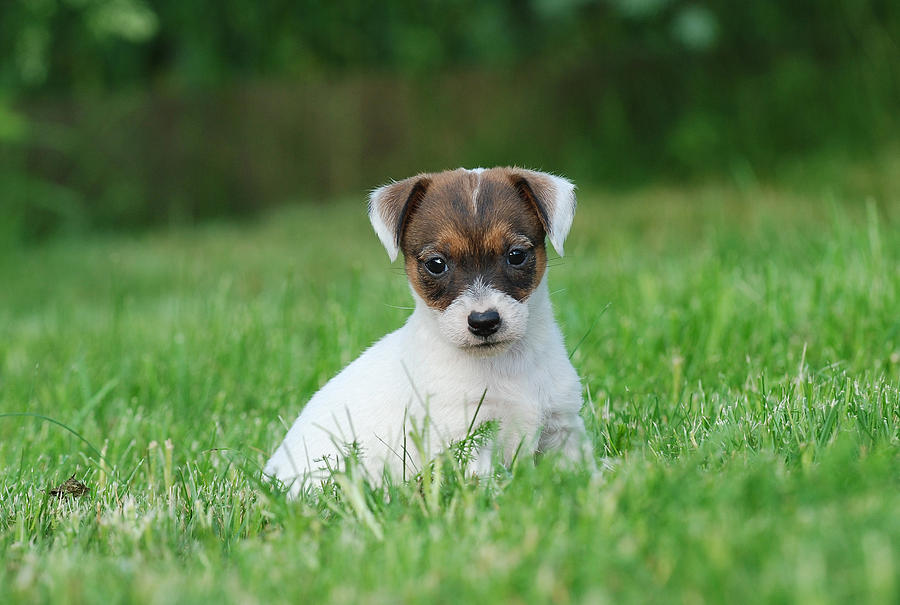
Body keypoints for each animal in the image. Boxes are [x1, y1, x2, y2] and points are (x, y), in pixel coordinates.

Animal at [264, 166, 596, 496]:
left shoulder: (562, 426)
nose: (484, 321)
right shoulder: (468, 440)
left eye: (516, 255)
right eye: (436, 264)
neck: (503, 366)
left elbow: (584, 474)